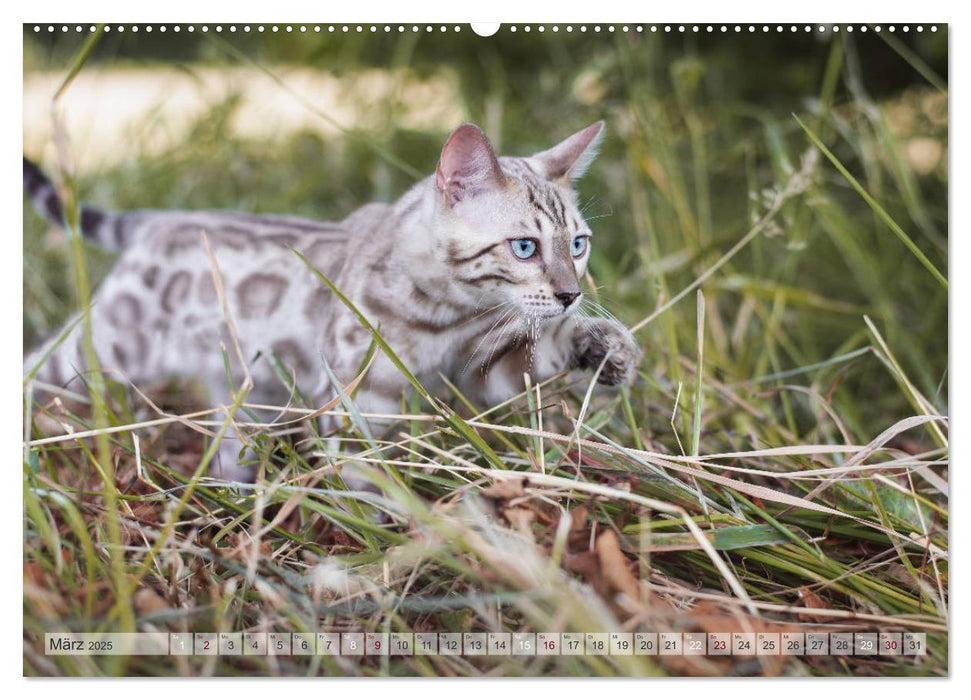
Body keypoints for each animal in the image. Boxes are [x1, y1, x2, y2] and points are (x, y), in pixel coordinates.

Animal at [22, 121, 640, 482]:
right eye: (525, 247)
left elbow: (541, 353)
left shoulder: (481, 370)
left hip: (246, 386)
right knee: (34, 366)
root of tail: (160, 220)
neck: (449, 315)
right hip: (102, 351)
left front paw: (607, 346)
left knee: (230, 444)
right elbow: (368, 486)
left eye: (578, 244)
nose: (571, 293)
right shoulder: (355, 409)